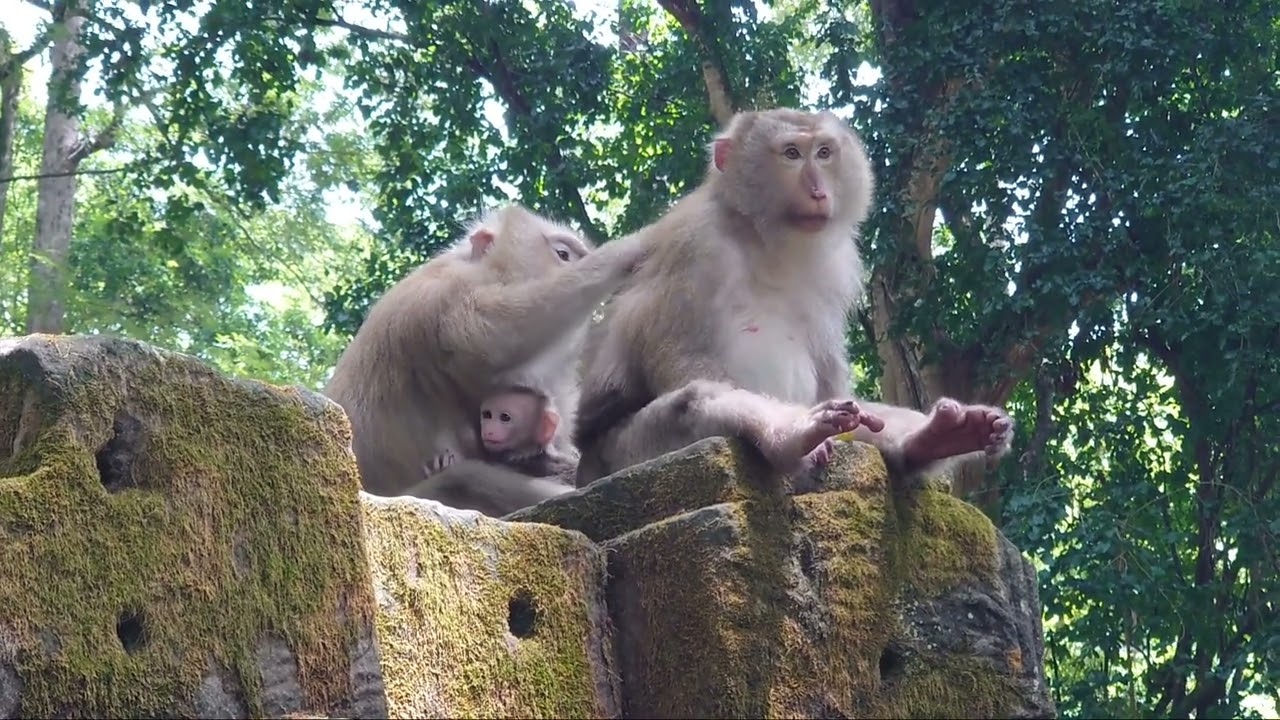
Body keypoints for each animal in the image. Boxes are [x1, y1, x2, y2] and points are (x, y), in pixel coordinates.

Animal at [573, 107, 1014, 488]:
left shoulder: (837, 268)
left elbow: (833, 386)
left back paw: (936, 438)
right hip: (620, 451)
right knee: (696, 401)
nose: (818, 191)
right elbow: (685, 364)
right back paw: (791, 435)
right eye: (791, 154)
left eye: (823, 153)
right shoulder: (695, 246)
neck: (762, 238)